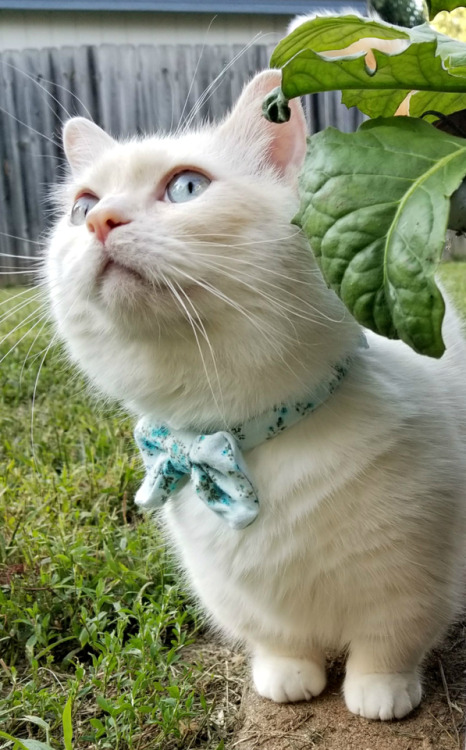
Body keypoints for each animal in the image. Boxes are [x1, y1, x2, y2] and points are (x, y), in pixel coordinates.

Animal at [45, 70, 466, 724]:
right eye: (81, 208)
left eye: (187, 187)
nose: (99, 221)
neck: (240, 435)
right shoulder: (233, 591)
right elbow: (279, 639)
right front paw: (289, 677)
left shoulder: (414, 577)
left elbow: (388, 641)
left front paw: (379, 693)